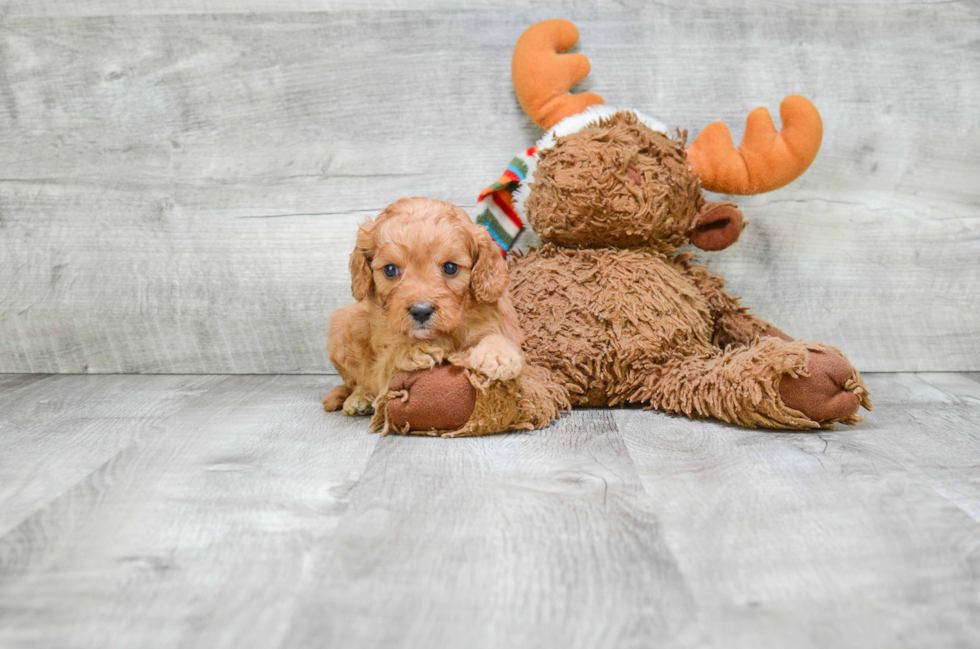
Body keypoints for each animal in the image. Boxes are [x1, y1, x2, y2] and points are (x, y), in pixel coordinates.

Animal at [324, 197, 524, 420]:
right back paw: (360, 397)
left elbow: (497, 335)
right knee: (356, 382)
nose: (421, 311)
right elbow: (388, 362)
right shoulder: (383, 362)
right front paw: (416, 349)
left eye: (450, 267)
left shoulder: (497, 319)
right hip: (342, 327)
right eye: (390, 269)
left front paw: (497, 353)